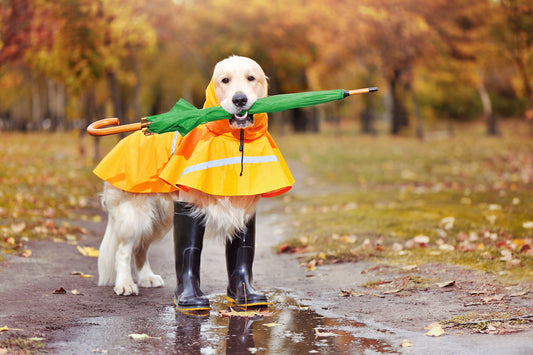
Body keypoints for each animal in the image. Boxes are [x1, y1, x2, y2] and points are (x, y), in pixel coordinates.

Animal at [96, 56, 296, 312]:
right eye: (225, 80)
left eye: (251, 78)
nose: (239, 99)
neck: (234, 138)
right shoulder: (189, 203)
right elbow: (188, 249)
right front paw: (189, 298)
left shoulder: (244, 206)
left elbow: (241, 249)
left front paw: (243, 294)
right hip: (135, 214)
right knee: (124, 250)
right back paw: (125, 284)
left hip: (159, 220)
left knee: (141, 248)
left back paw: (147, 277)